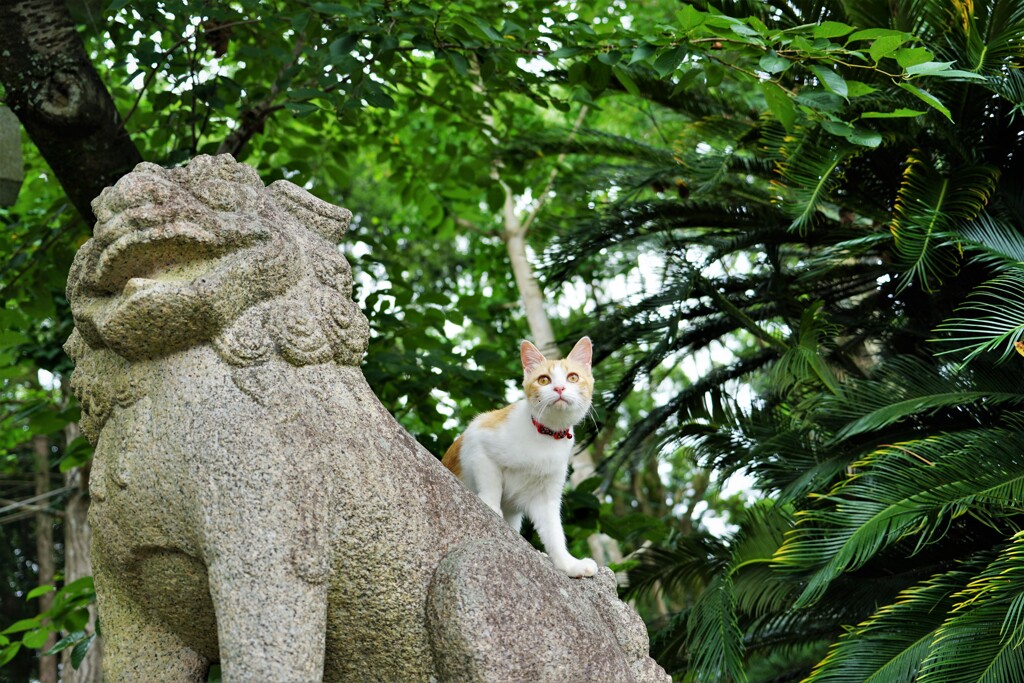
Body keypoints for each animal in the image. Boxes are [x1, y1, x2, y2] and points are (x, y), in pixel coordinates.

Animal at [442, 335, 598, 577]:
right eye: (544, 380)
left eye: (573, 377)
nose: (559, 388)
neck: (546, 437)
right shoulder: (479, 437)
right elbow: (491, 484)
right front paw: (491, 506)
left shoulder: (546, 497)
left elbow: (554, 532)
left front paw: (568, 564)